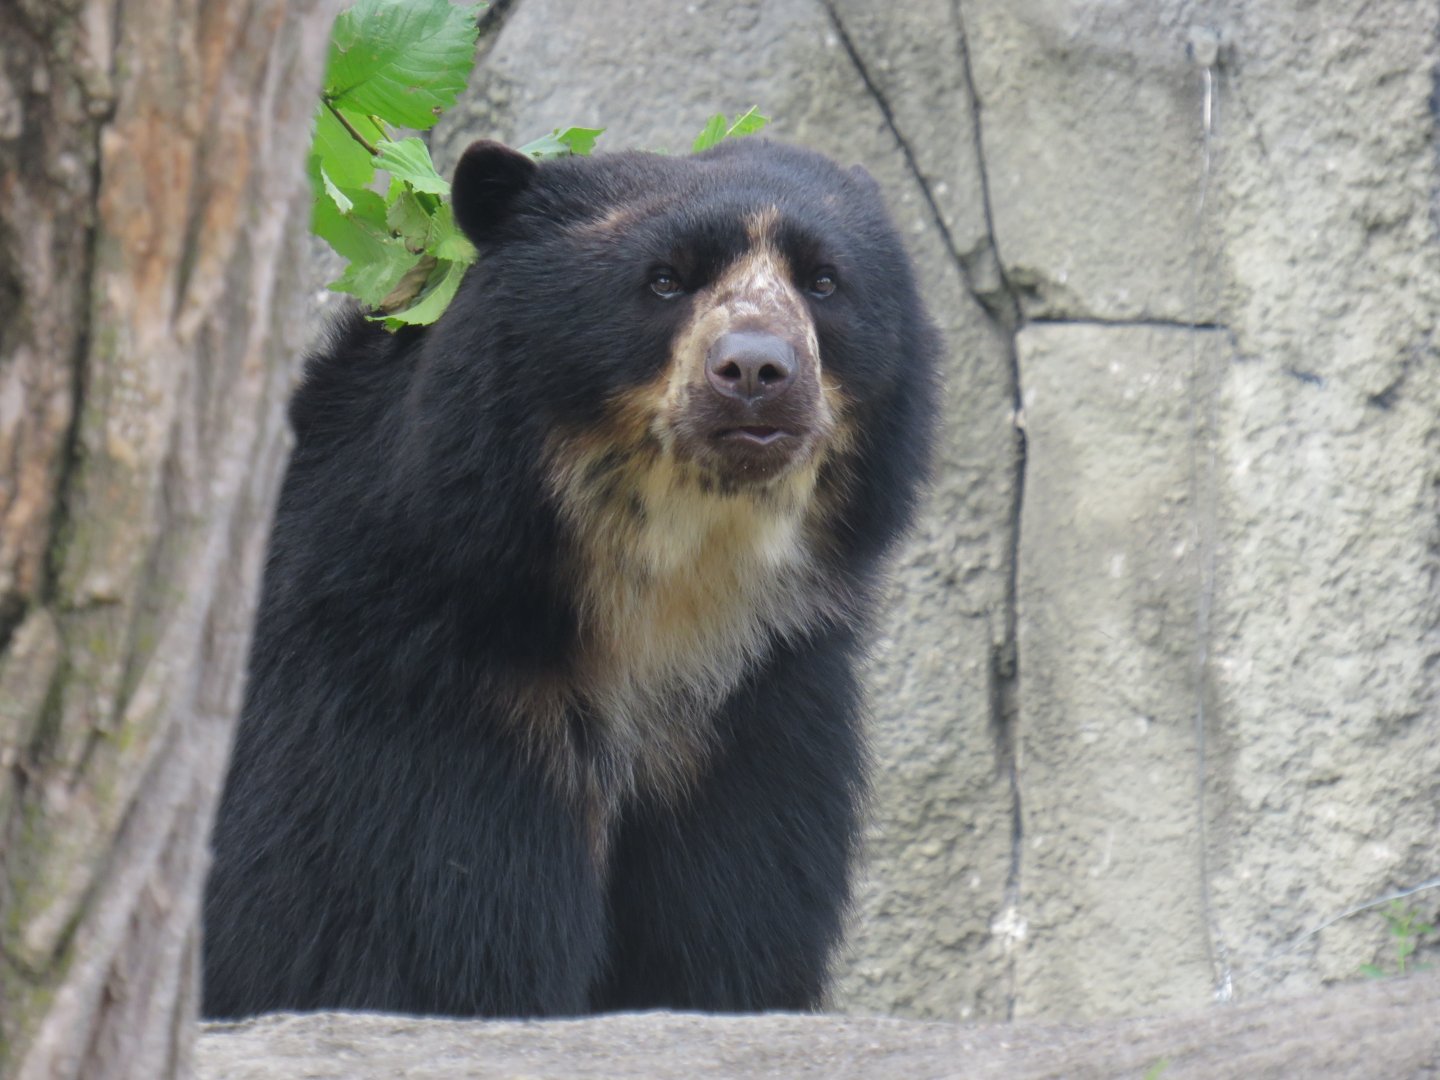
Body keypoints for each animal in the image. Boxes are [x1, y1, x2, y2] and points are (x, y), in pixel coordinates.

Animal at [202, 136, 940, 1019]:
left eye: (824, 282)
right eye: (665, 279)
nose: (757, 371)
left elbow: (733, 937)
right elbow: (407, 934)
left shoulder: (752, 721)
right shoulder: (413, 707)